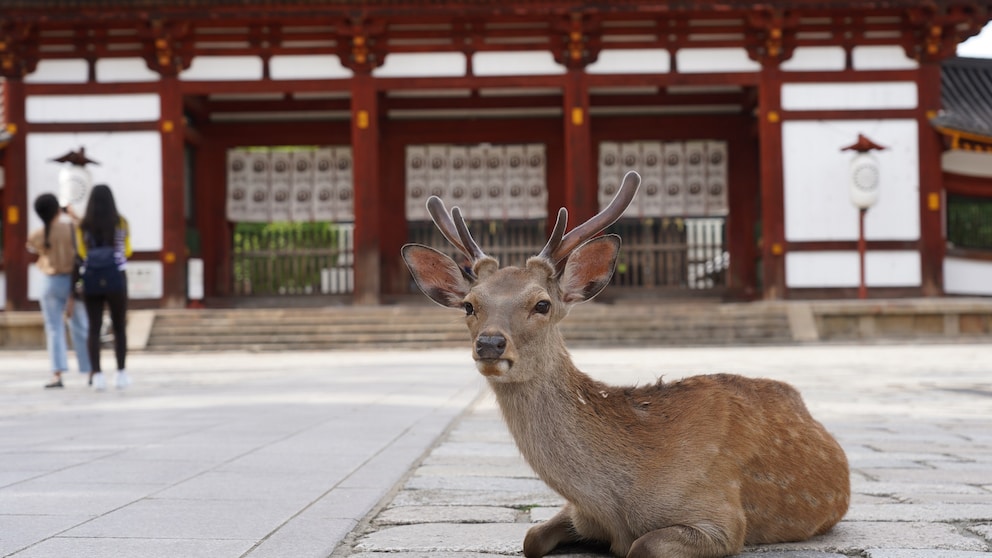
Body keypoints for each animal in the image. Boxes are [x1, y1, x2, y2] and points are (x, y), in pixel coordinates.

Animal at [400, 171, 848, 558]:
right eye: (469, 305)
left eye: (541, 304)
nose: (490, 344)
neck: (615, 505)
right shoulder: (579, 512)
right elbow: (530, 538)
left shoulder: (721, 516)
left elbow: (641, 546)